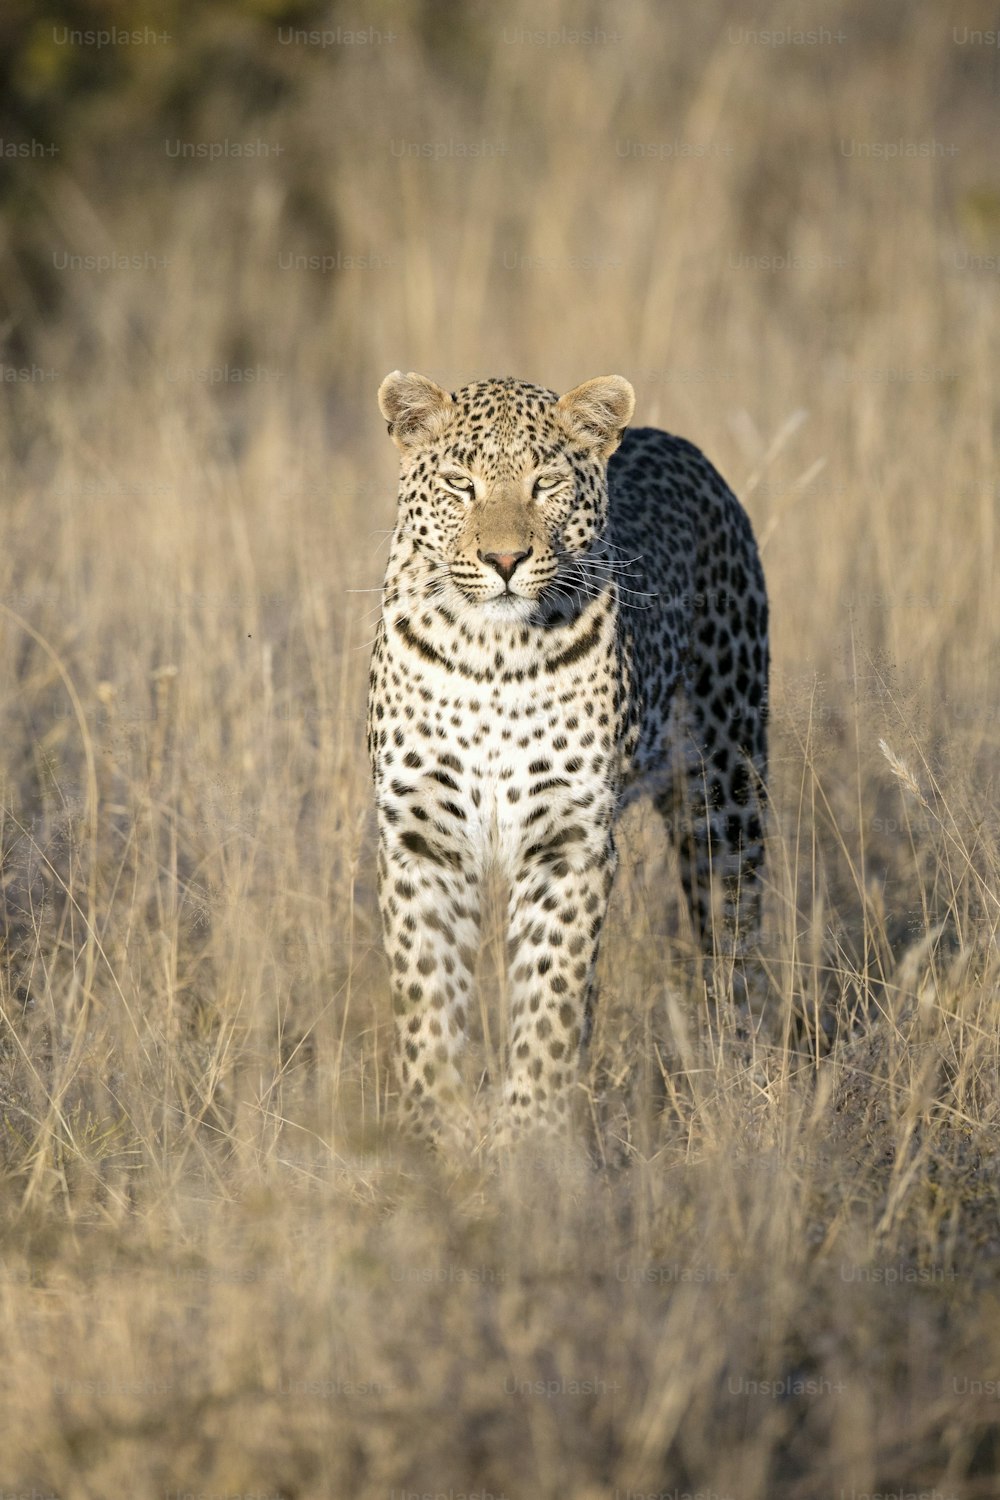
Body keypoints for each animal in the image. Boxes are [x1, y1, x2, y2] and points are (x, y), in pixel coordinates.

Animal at [367, 369, 767, 1140]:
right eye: (460, 484)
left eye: (545, 483)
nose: (504, 560)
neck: (491, 654)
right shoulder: (423, 836)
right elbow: (426, 992)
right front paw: (442, 1125)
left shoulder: (568, 840)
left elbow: (551, 996)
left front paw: (531, 1132)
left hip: (727, 789)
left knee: (735, 942)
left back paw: (744, 1087)